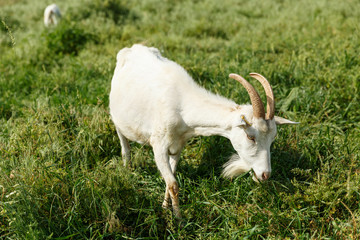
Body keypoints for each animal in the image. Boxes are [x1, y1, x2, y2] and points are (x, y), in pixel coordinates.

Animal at [109, 44, 298, 218]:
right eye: (251, 136)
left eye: (272, 138)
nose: (265, 175)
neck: (182, 107)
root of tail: (132, 48)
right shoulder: (159, 144)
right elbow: (173, 184)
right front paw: (178, 220)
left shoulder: (177, 145)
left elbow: (170, 179)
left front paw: (165, 207)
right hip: (117, 118)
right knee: (124, 145)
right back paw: (126, 168)